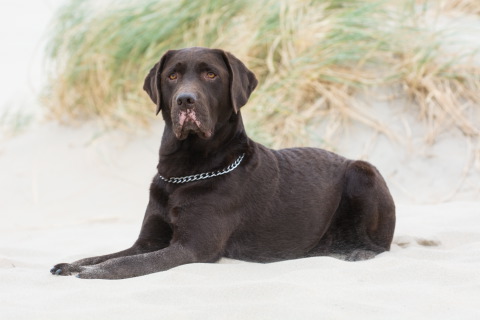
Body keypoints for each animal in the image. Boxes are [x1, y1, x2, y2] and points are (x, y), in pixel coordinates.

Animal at [50, 47, 396, 280]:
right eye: (172, 75)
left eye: (211, 74)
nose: (185, 99)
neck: (188, 172)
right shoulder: (147, 240)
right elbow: (109, 254)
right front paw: (73, 264)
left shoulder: (192, 247)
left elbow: (128, 263)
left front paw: (96, 272)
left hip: (364, 172)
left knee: (380, 245)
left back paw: (356, 252)